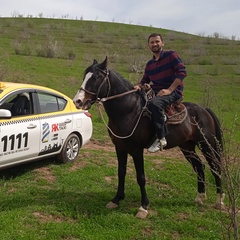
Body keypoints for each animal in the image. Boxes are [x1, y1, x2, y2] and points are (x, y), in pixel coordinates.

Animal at [73, 57, 225, 218]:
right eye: (85, 76)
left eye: (96, 77)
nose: (78, 101)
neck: (129, 111)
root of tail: (204, 110)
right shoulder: (119, 148)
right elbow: (121, 172)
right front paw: (116, 199)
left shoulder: (136, 150)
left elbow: (141, 177)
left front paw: (143, 207)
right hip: (187, 146)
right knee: (199, 166)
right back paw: (200, 197)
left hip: (207, 145)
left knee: (215, 167)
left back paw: (219, 201)